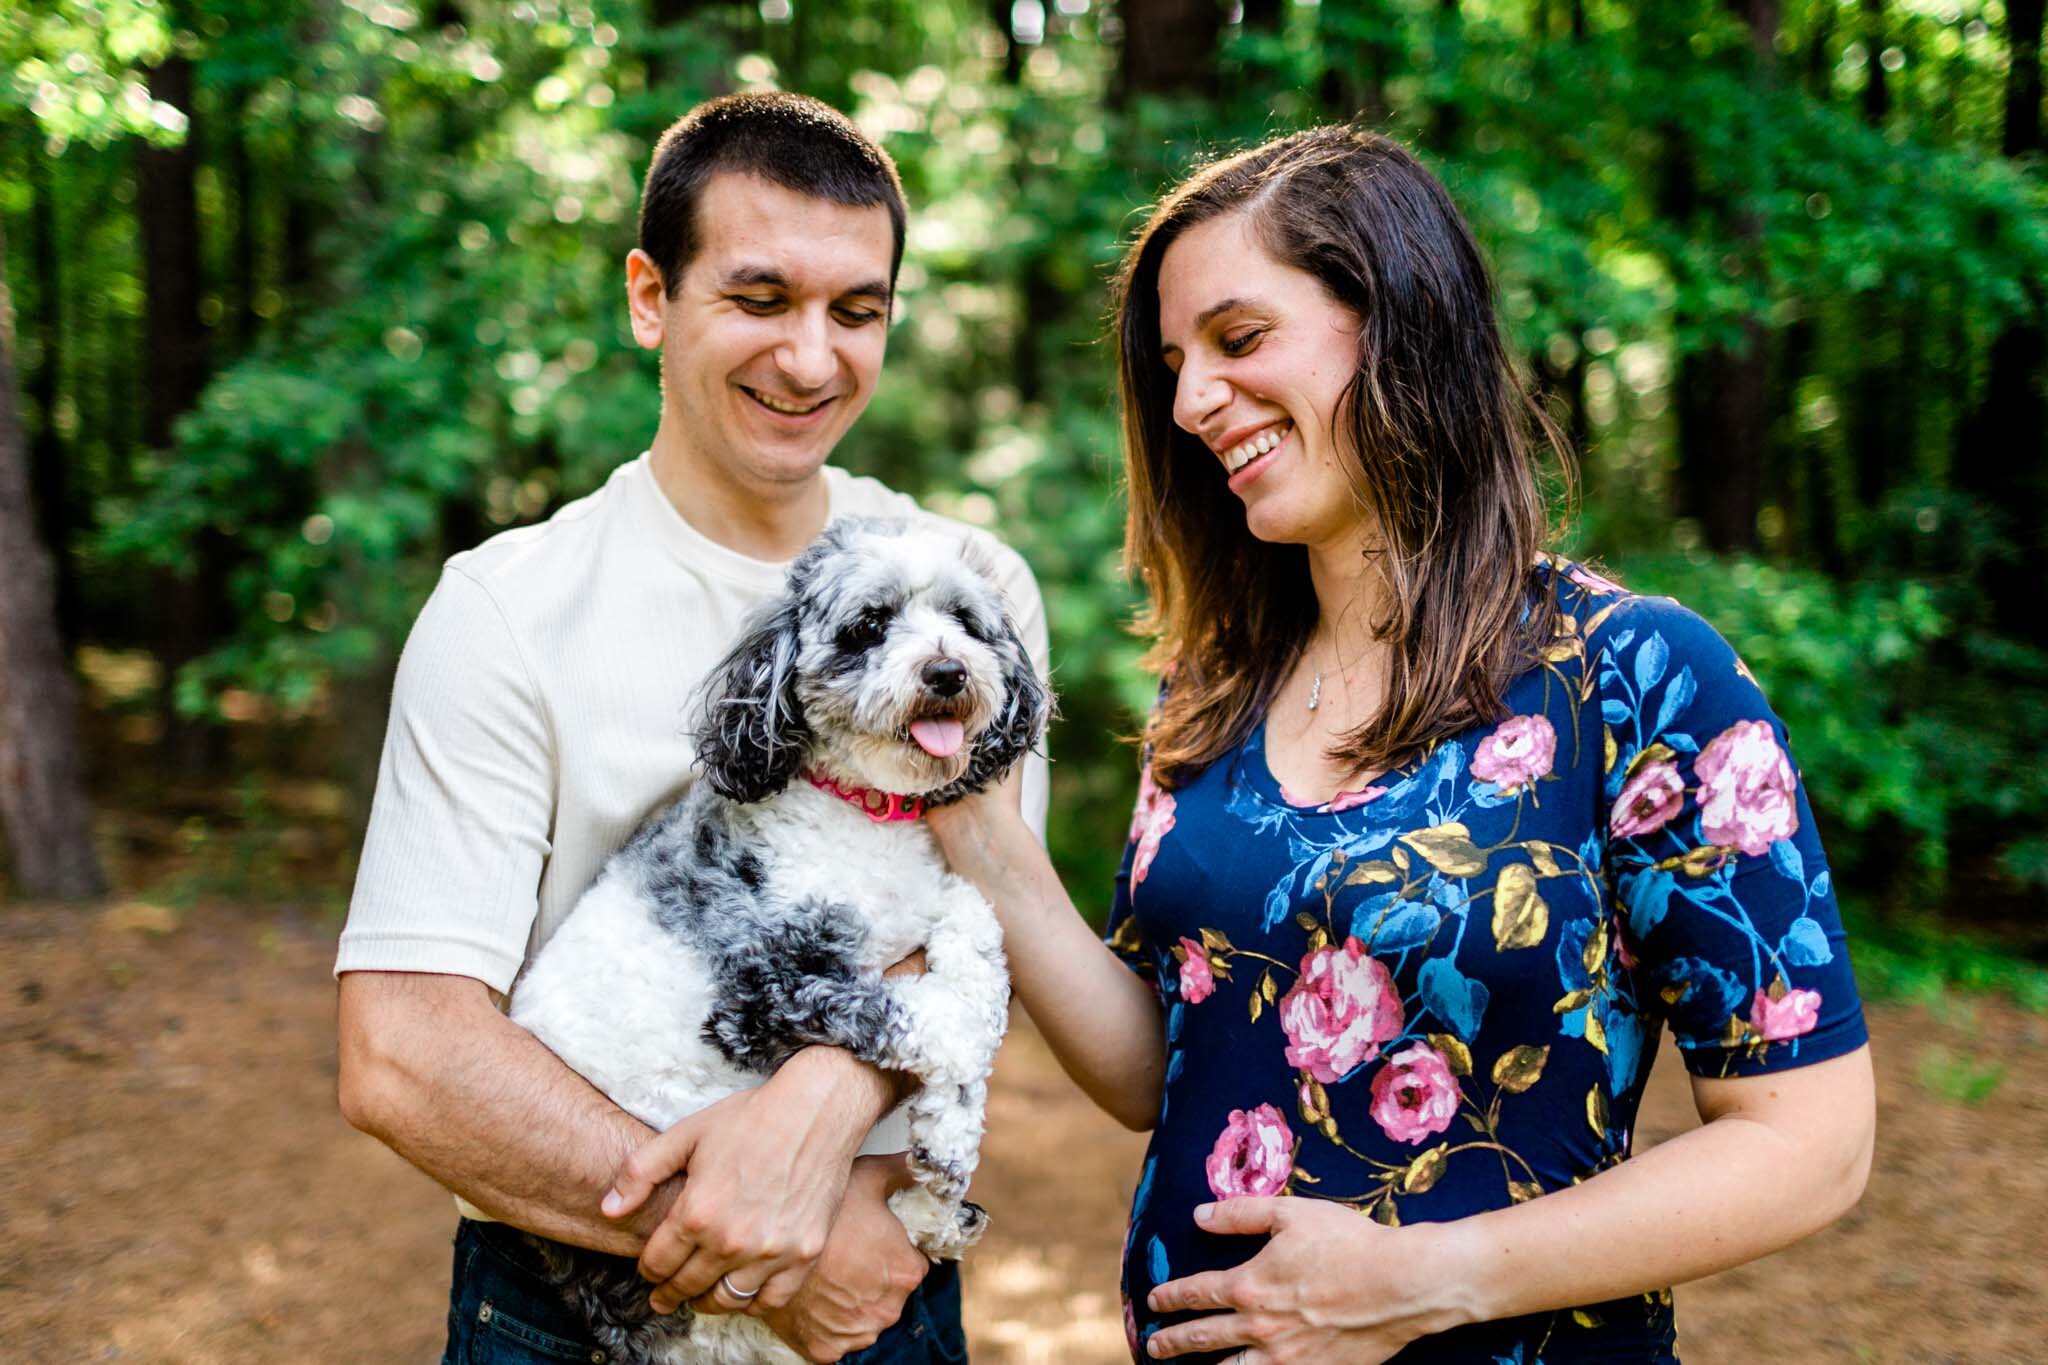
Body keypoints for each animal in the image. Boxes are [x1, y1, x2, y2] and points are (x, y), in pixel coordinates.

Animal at [501, 515, 1048, 1365]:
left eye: (964, 620)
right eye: (869, 625)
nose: (949, 670)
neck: (864, 813)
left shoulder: (940, 896)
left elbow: (978, 937)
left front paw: (953, 1119)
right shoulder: (763, 993)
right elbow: (926, 1017)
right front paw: (954, 1117)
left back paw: (942, 1217)